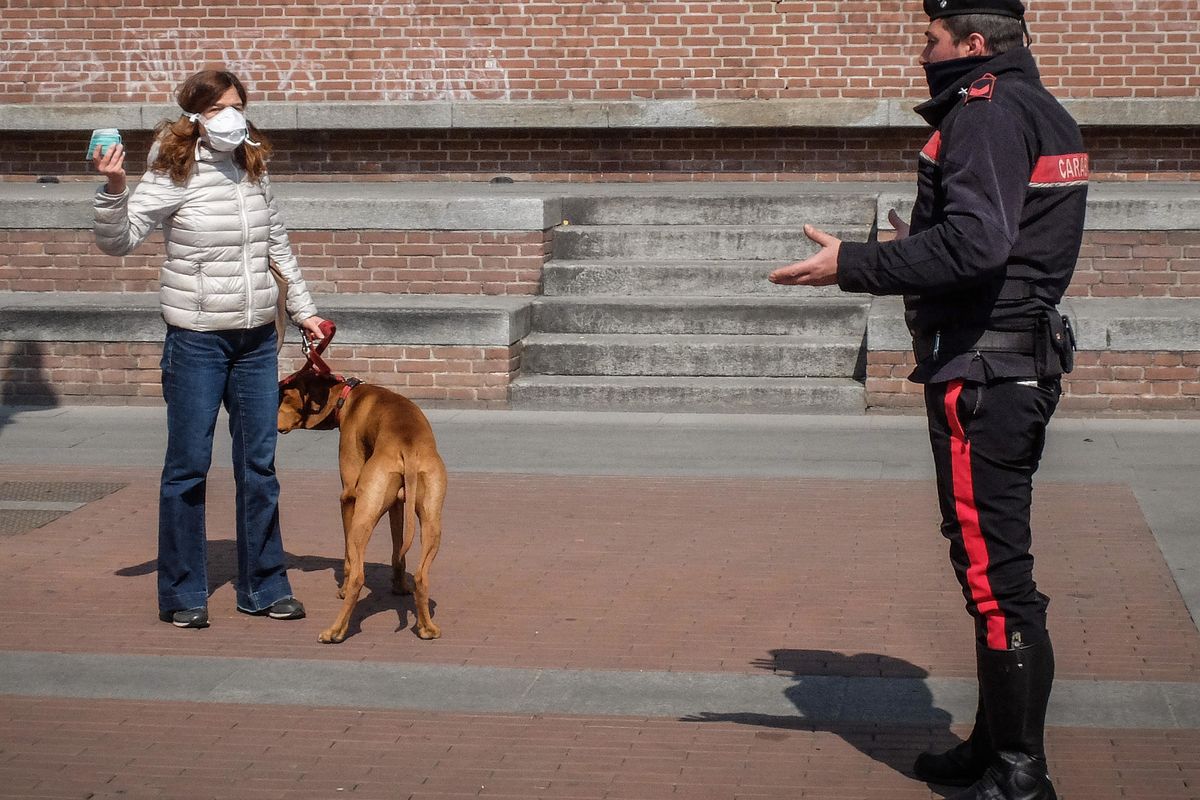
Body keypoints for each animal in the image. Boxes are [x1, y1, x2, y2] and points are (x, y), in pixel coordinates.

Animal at [278, 374, 448, 642]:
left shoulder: (349, 497)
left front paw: (342, 588)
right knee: (422, 575)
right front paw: (399, 586)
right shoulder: (397, 504)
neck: (346, 395)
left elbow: (348, 556)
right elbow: (397, 549)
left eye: (285, 396)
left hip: (363, 517)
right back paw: (426, 628)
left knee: (358, 575)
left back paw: (335, 631)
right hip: (432, 520)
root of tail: (408, 448)